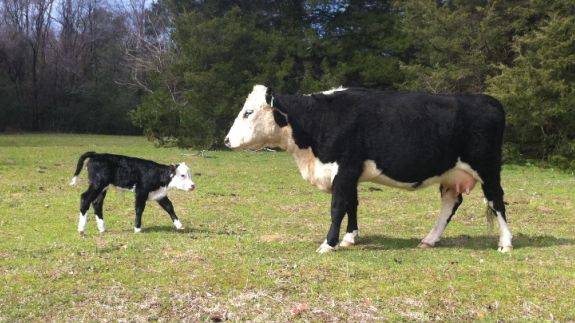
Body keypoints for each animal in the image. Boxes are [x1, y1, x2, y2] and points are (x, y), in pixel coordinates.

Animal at [224, 86, 512, 256]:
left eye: (248, 112)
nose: (227, 140)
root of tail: (487, 99)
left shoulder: (345, 168)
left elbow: (337, 207)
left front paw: (328, 244)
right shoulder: (350, 174)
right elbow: (352, 204)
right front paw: (350, 238)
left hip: (487, 167)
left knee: (496, 200)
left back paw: (506, 242)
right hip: (451, 173)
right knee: (451, 203)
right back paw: (429, 239)